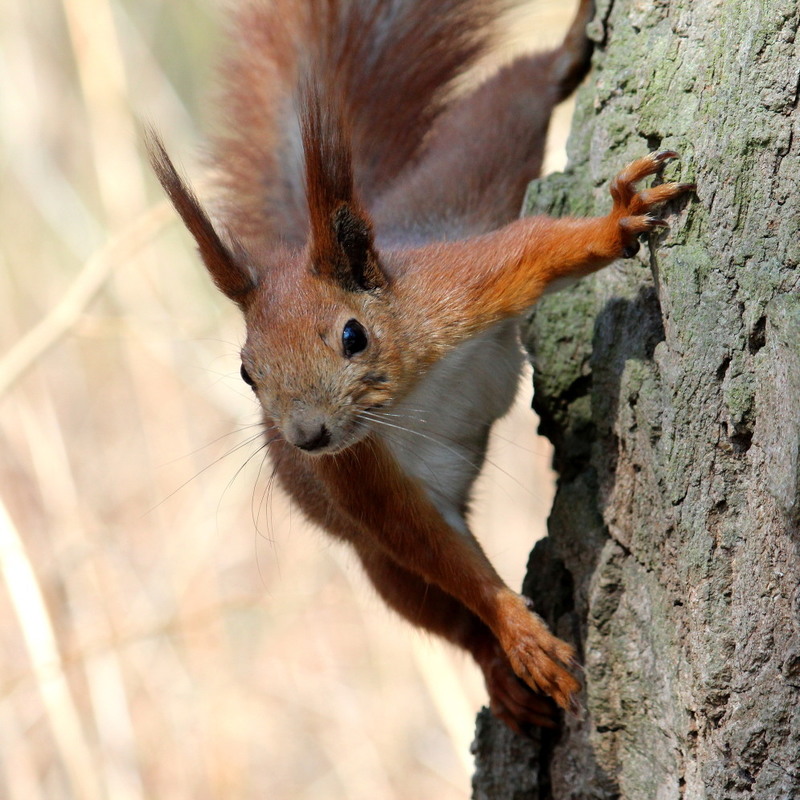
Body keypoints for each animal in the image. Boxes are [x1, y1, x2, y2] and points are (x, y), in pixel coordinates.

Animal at [148, 0, 692, 736]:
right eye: (245, 374)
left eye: (353, 336)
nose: (306, 438)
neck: (408, 397)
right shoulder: (358, 480)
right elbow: (438, 554)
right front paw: (518, 636)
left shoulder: (458, 290)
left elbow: (540, 248)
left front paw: (616, 225)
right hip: (378, 567)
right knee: (434, 610)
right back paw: (498, 669)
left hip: (469, 176)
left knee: (509, 102)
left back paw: (570, 47)